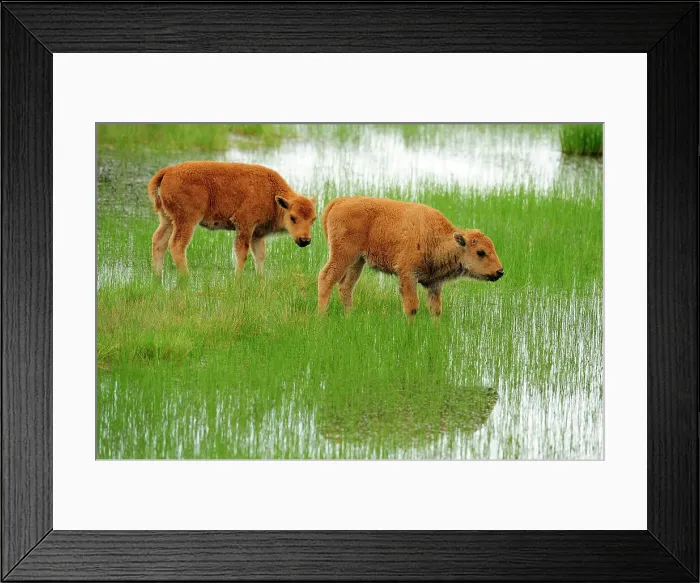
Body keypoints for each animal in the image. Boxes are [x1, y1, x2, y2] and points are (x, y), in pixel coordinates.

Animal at [147, 162, 316, 276]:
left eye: (313, 220)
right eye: (293, 217)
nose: (305, 240)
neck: (271, 194)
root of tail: (168, 171)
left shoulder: (257, 234)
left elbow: (260, 256)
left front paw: (260, 279)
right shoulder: (244, 225)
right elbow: (242, 254)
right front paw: (237, 279)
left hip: (168, 219)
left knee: (159, 241)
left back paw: (157, 276)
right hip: (187, 221)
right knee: (177, 245)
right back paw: (185, 278)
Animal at [318, 196, 504, 317]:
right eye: (480, 252)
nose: (500, 272)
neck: (435, 237)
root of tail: (339, 201)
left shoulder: (435, 284)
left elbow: (436, 310)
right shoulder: (407, 275)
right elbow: (412, 306)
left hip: (358, 261)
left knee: (345, 286)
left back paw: (349, 315)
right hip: (343, 254)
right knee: (327, 278)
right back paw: (321, 316)